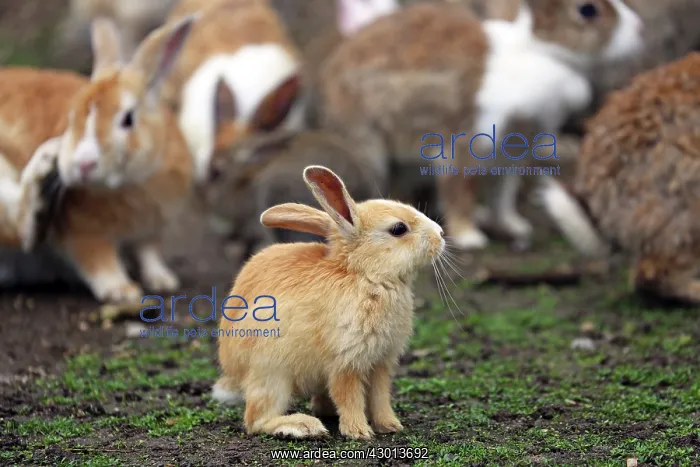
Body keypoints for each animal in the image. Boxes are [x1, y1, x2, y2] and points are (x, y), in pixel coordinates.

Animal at [0, 16, 197, 303]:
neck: (132, 184)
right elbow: (100, 262)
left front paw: (163, 281)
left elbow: (149, 253)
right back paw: (43, 172)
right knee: (18, 228)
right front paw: (124, 291)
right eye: (72, 116)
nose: (83, 164)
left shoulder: (150, 231)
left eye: (128, 119)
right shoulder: (83, 232)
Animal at [211, 165, 445, 439]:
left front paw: (389, 425)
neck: (365, 275)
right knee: (256, 420)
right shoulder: (346, 361)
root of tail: (233, 370)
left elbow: (379, 397)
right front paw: (359, 432)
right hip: (271, 374)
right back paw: (302, 425)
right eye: (399, 229)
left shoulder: (380, 363)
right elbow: (349, 396)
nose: (441, 235)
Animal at [318, 0, 645, 252]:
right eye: (587, 10)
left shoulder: (511, 154)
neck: (545, 51)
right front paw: (470, 237)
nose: (638, 29)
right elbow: (459, 189)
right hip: (369, 147)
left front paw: (514, 227)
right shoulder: (465, 142)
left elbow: (503, 193)